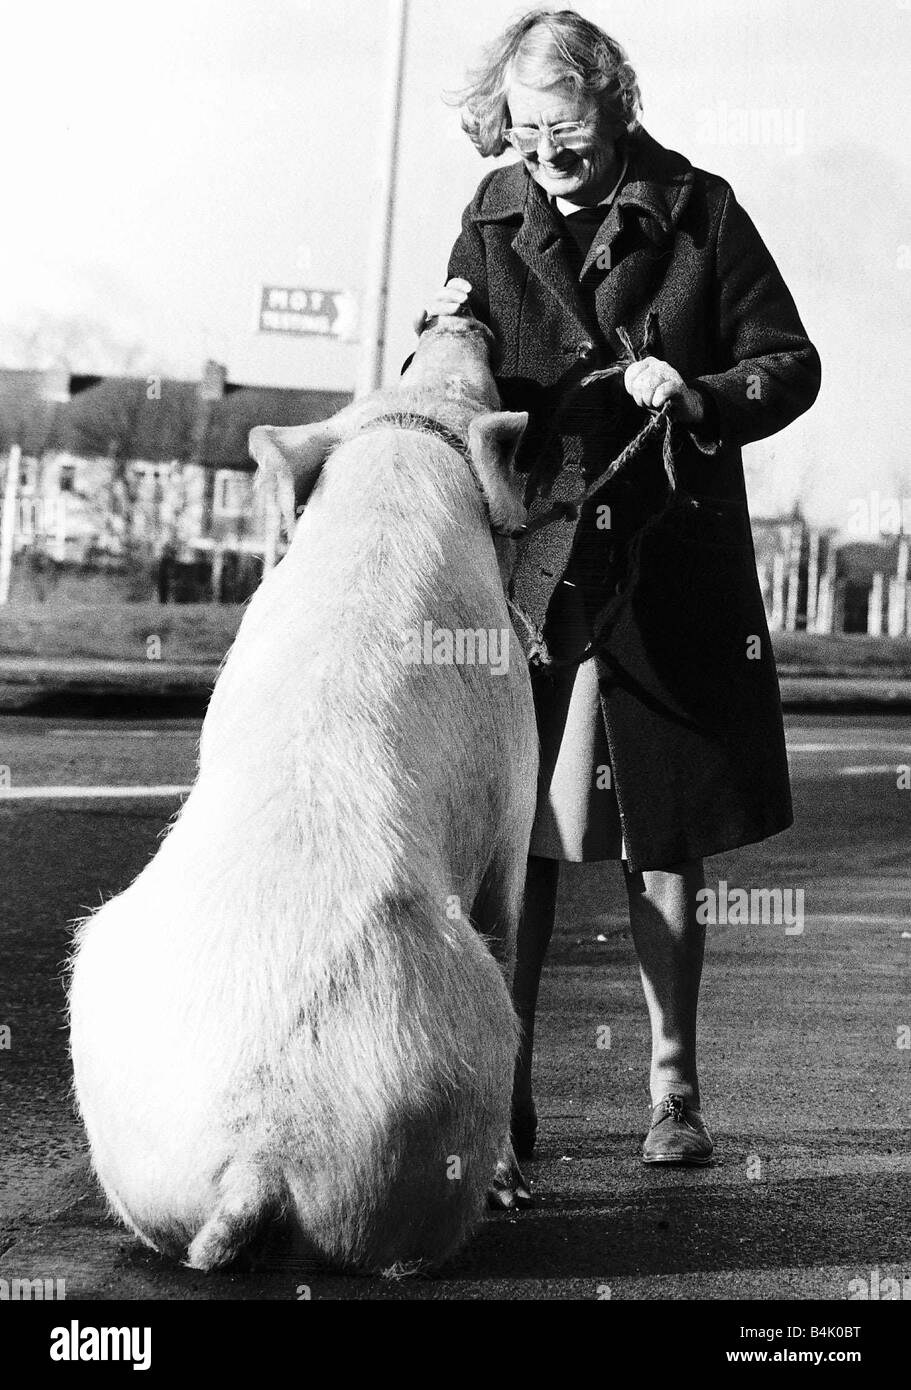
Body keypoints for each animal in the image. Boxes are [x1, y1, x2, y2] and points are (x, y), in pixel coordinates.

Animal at [71, 318, 542, 1278]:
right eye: (420, 364)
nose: (451, 317)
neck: (403, 438)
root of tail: (259, 1151)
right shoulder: (516, 797)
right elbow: (513, 924)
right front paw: (522, 1190)